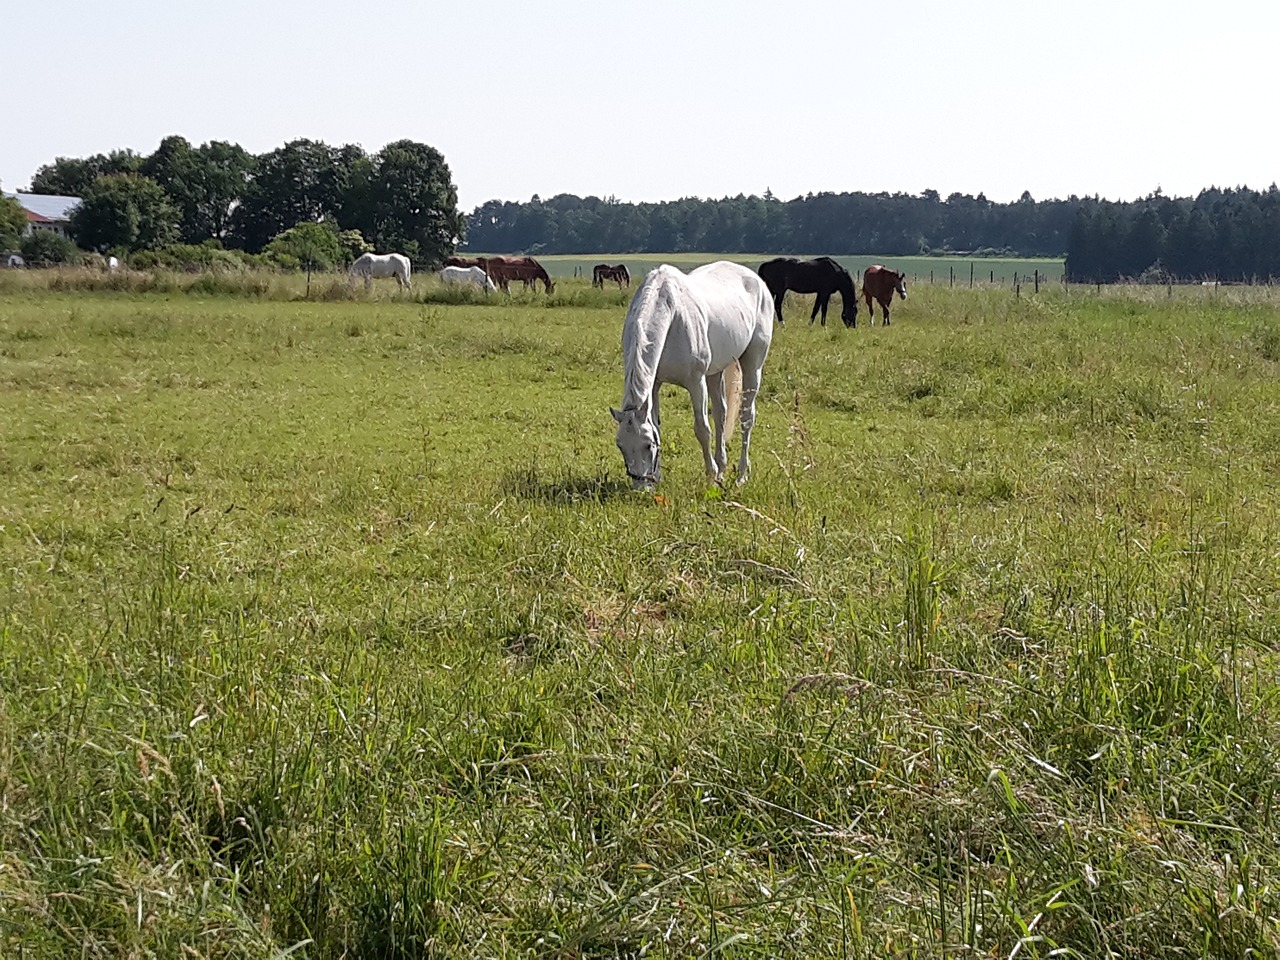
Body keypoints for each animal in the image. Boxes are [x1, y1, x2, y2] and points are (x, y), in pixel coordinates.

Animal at [609, 261, 768, 491]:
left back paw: (741, 475)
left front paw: (710, 478)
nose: (642, 488)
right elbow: (657, 425)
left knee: (747, 417)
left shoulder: (696, 382)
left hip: (752, 366)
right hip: (715, 372)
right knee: (721, 413)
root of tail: (756, 280)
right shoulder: (655, 384)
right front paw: (659, 476)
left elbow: (702, 429)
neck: (671, 315)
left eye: (647, 445)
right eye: (620, 445)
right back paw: (722, 469)